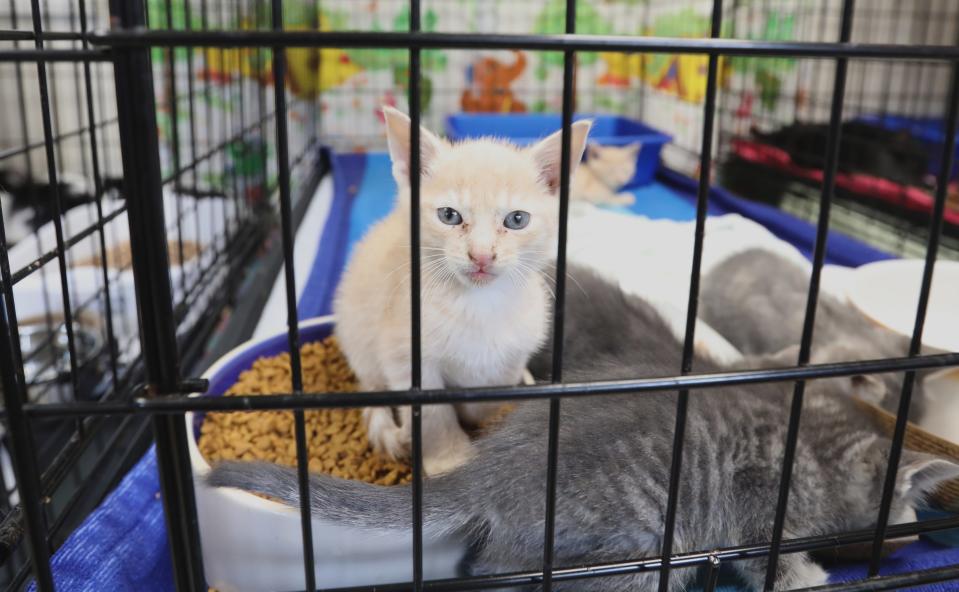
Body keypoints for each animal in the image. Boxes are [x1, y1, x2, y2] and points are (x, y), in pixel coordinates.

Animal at [206, 268, 956, 592]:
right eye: (901, 506)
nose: (904, 539)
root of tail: (487, 474)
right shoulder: (756, 505)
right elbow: (769, 560)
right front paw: (808, 577)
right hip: (642, 550)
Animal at [338, 107, 592, 476]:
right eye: (449, 215)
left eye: (517, 219)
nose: (482, 255)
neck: (478, 304)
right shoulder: (405, 357)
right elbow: (432, 413)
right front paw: (448, 459)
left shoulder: (517, 347)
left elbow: (490, 394)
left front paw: (478, 411)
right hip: (360, 340)